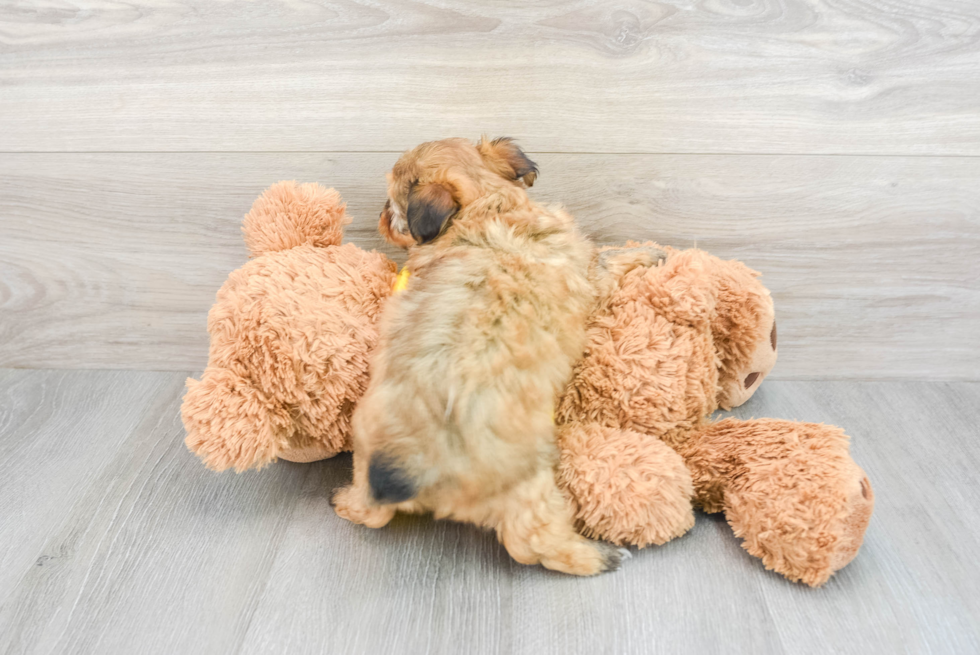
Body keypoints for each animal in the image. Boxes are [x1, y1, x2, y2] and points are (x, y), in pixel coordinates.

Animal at [330, 137, 620, 576]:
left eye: (391, 209)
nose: (380, 216)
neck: (488, 205)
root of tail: (414, 463)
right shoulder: (590, 273)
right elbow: (611, 261)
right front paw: (650, 256)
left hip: (364, 453)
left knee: (371, 512)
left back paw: (344, 501)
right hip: (529, 484)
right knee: (532, 539)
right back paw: (594, 556)